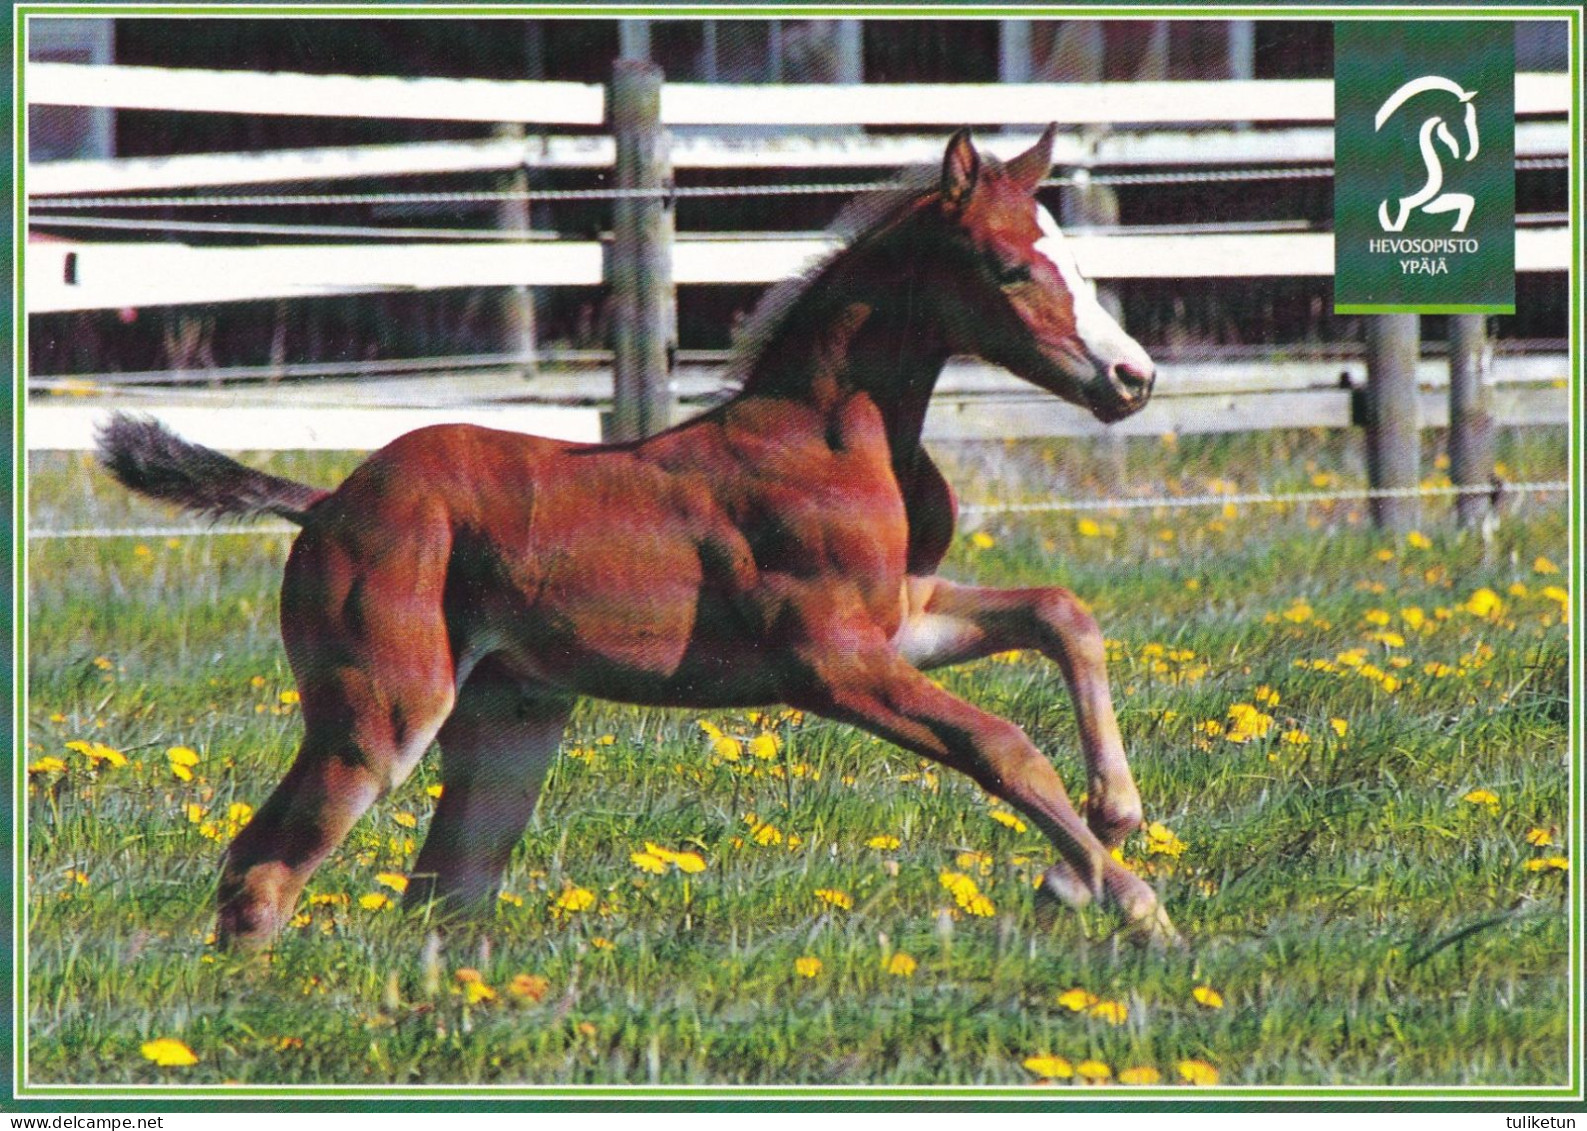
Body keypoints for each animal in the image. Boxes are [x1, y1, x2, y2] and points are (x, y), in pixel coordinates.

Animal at [99, 123, 1187, 945]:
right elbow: (1000, 743)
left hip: (509, 723)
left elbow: (1061, 613)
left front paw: (1111, 826)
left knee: (444, 890)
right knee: (266, 869)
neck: (830, 438)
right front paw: (1124, 898)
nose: (1131, 377)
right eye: (1010, 269)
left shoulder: (901, 622)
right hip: (380, 717)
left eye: (1075, 262)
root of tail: (325, 503)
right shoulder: (828, 661)